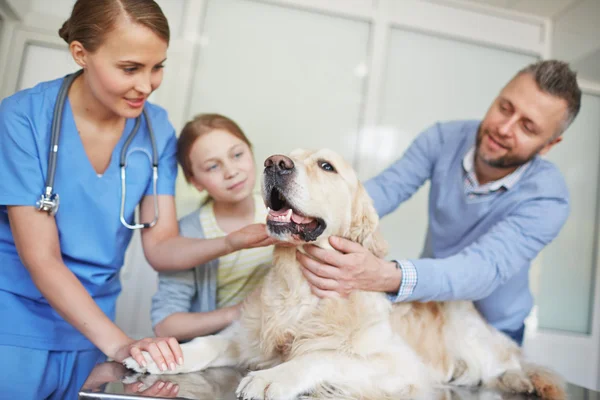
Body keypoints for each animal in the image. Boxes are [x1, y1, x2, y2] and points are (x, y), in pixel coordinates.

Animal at [124, 148, 564, 398]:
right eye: (286, 156)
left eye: (326, 166)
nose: (274, 164)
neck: (300, 288)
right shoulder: (246, 334)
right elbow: (208, 342)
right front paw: (164, 355)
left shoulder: (397, 364)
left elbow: (323, 357)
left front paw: (272, 378)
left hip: (471, 336)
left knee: (508, 361)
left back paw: (520, 380)